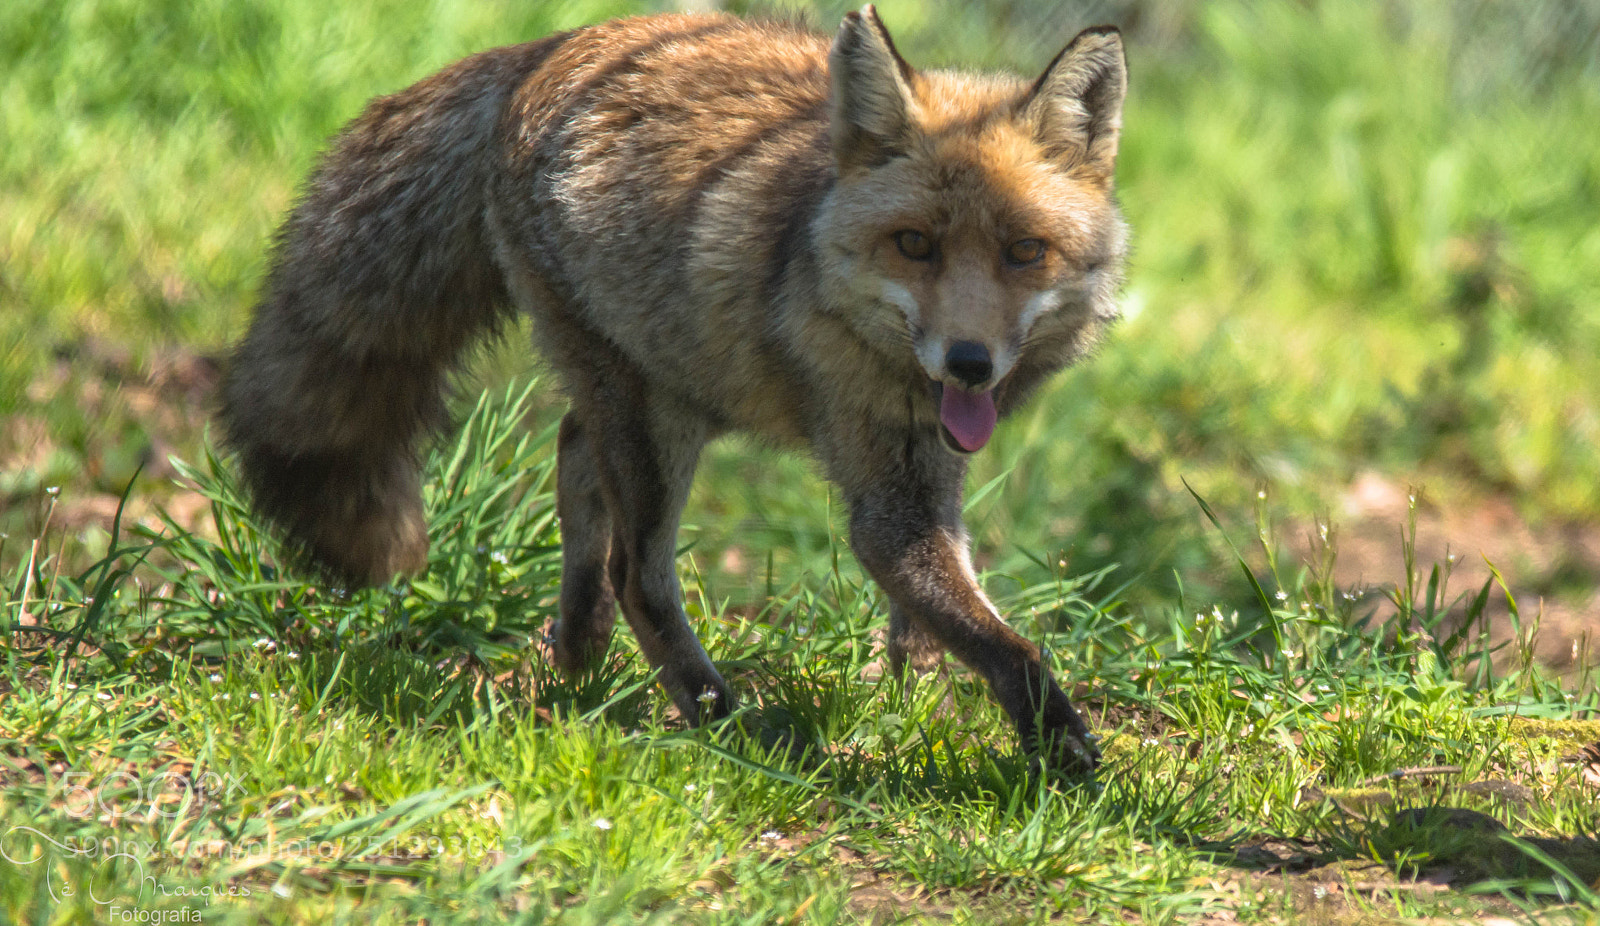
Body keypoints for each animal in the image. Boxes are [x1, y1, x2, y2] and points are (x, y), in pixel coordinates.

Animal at [220, 6, 1128, 771]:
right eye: (914, 245)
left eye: (1024, 251)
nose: (969, 362)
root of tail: (551, 47)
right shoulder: (886, 504)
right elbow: (1008, 645)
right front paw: (1060, 750)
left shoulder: (931, 473)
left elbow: (942, 619)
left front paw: (917, 698)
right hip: (659, 421)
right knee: (635, 570)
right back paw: (721, 718)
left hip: (678, 386)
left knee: (574, 455)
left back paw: (580, 648)